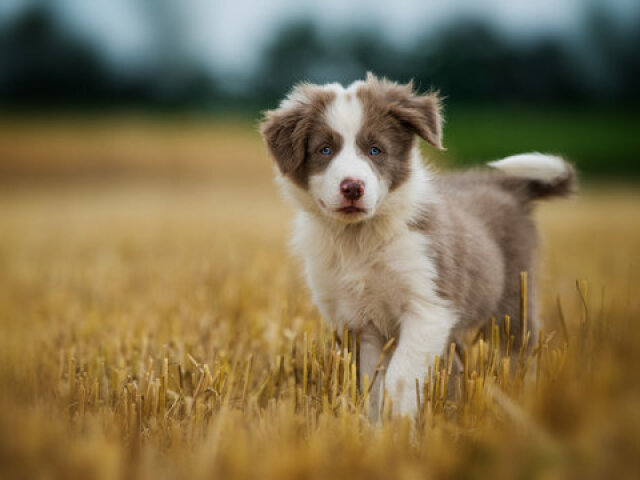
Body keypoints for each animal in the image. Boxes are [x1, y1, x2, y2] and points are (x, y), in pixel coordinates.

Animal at [258, 73, 576, 418]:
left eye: (375, 150)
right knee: (457, 364)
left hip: (513, 301)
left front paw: (399, 422)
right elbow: (371, 382)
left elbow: (400, 375)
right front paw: (374, 425)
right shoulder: (358, 322)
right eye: (325, 149)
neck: (360, 238)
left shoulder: (428, 305)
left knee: (519, 352)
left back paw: (522, 400)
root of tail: (506, 187)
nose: (352, 187)